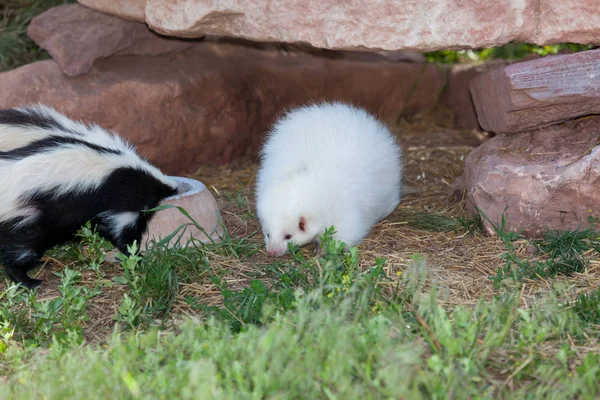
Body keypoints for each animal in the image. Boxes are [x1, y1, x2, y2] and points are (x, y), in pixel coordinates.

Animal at [0, 104, 178, 290]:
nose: (175, 189)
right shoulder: (122, 200)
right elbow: (123, 232)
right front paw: (137, 257)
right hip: (28, 216)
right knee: (20, 251)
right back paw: (28, 281)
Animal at [256, 101, 404, 258]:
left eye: (288, 236)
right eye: (268, 234)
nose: (272, 251)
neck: (308, 179)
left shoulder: (345, 212)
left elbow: (345, 234)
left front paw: (323, 250)